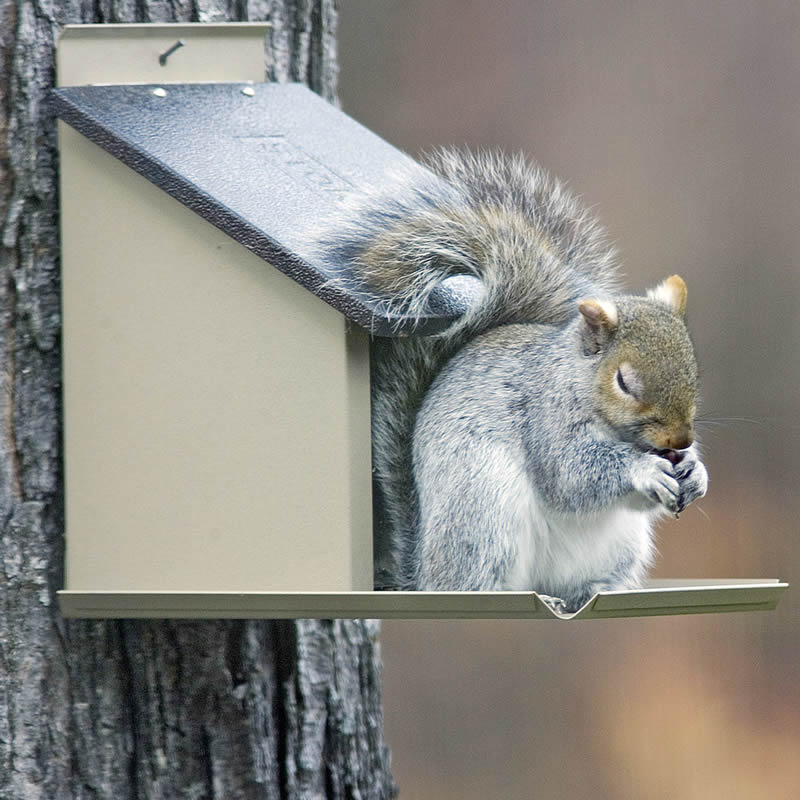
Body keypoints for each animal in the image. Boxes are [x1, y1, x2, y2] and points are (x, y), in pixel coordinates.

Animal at [312, 148, 708, 612]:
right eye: (624, 382)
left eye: (694, 368)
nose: (680, 441)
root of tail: (424, 575)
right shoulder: (545, 417)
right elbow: (570, 475)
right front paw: (643, 468)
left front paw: (696, 471)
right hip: (485, 513)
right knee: (476, 584)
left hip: (620, 545)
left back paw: (593, 591)